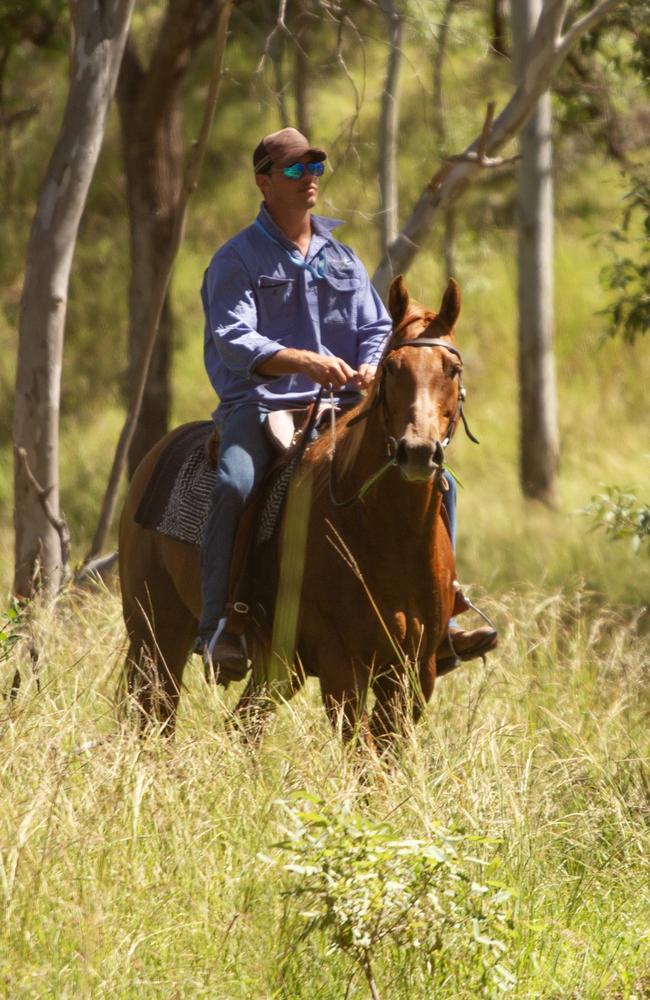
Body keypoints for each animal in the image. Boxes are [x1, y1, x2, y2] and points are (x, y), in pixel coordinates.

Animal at [117, 276, 466, 752]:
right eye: (393, 368)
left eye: (452, 369)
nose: (417, 452)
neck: (385, 534)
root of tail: (155, 454)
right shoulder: (342, 666)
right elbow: (361, 754)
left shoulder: (416, 670)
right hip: (155, 631)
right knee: (156, 713)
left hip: (277, 667)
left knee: (242, 724)